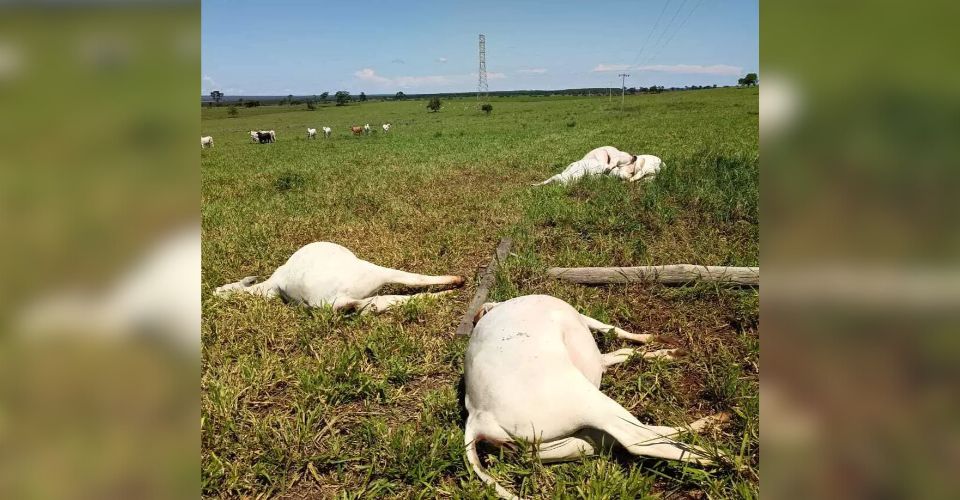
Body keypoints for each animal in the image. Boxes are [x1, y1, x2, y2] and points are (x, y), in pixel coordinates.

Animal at [463, 295, 729, 499]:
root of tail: (477, 417)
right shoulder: (585, 320)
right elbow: (616, 331)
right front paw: (659, 345)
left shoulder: (600, 358)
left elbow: (626, 351)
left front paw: (666, 351)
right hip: (586, 400)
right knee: (636, 439)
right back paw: (720, 458)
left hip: (565, 443)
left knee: (624, 437)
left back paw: (710, 425)